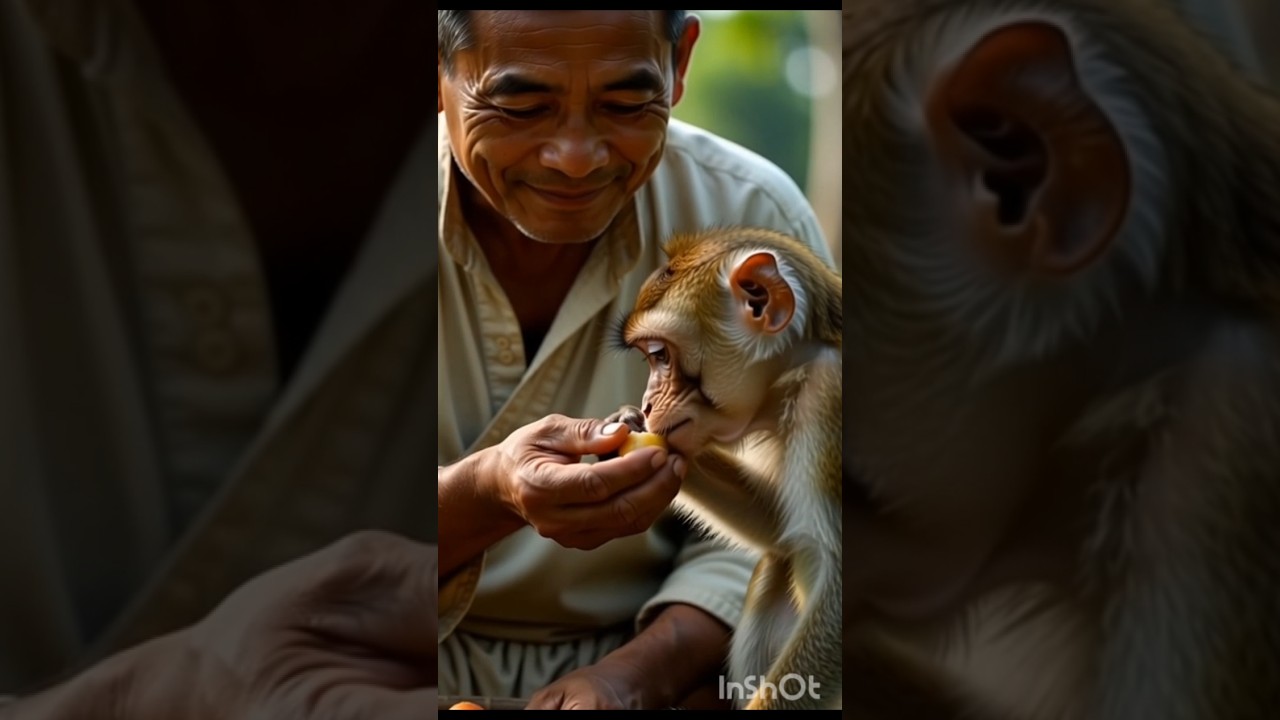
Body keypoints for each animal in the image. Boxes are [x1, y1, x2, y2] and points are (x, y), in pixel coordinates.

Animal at [605, 226, 843, 710]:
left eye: (660, 355)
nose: (647, 405)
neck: (798, 367)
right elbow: (777, 527)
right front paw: (629, 424)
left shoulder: (829, 398)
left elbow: (836, 584)